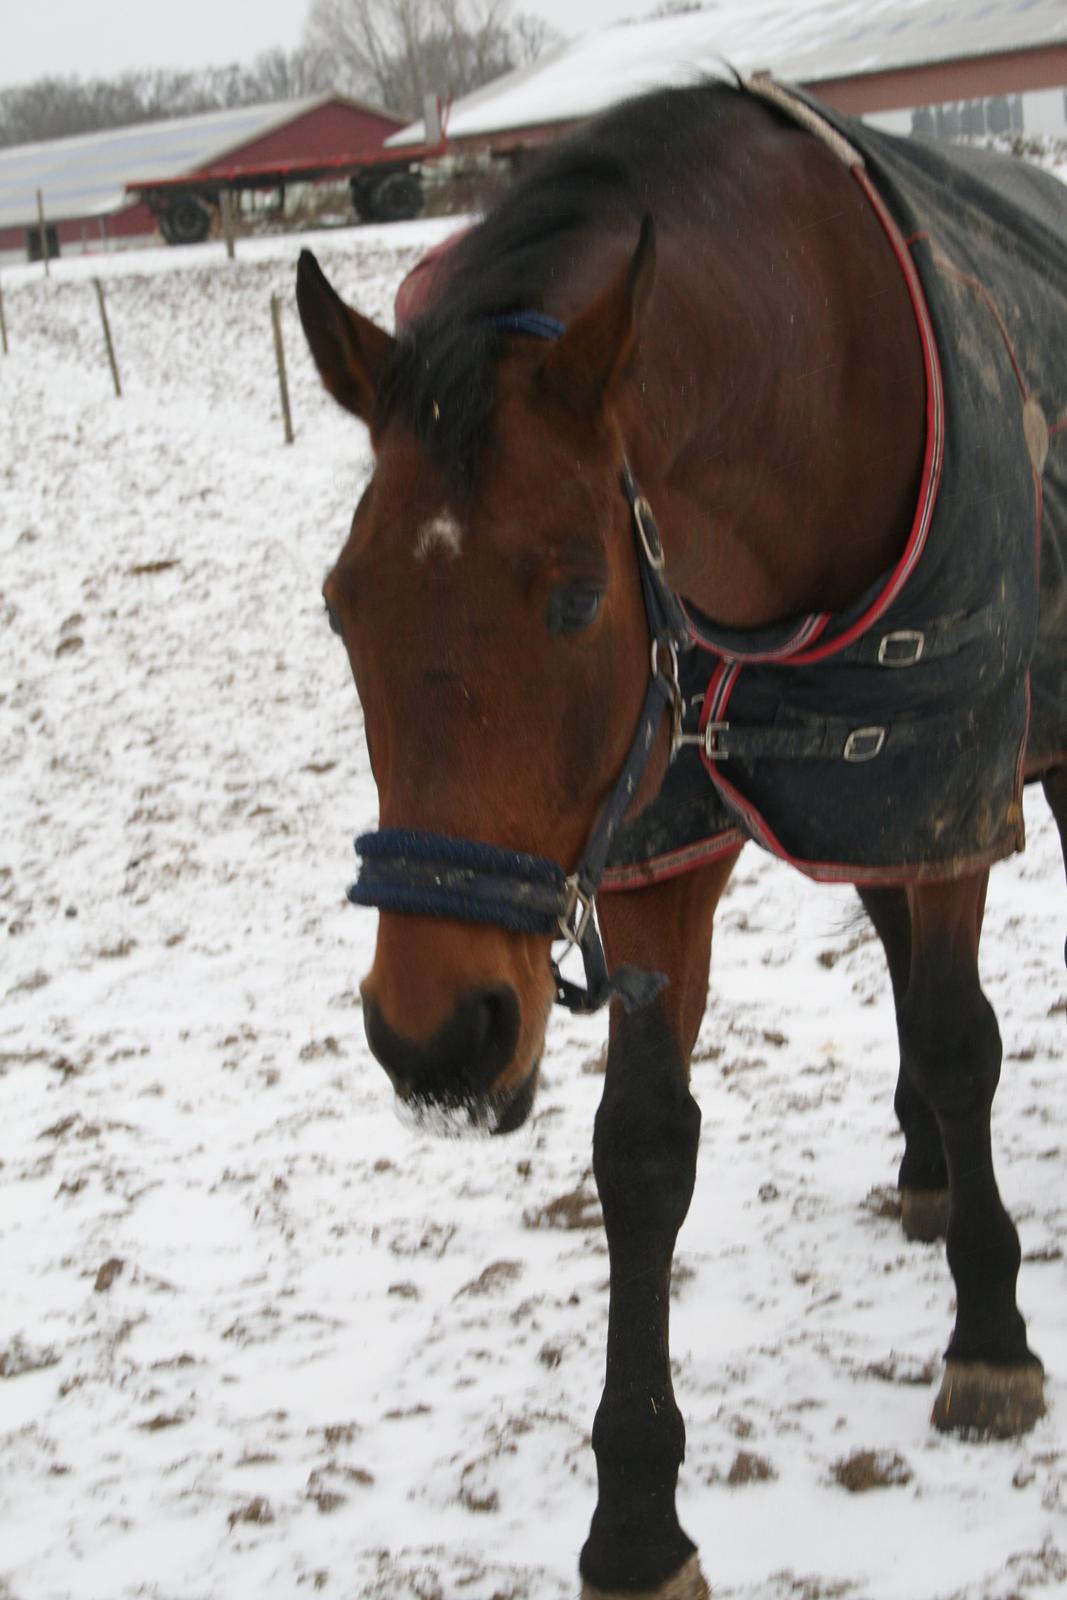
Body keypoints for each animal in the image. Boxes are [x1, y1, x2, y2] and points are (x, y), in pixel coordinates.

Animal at [295, 78, 1062, 1600]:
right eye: (342, 603)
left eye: (577, 594)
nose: (436, 1036)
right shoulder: (658, 832)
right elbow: (642, 1150)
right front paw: (637, 1520)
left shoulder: (947, 784)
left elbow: (961, 1038)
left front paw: (990, 1339)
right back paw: (924, 1171)